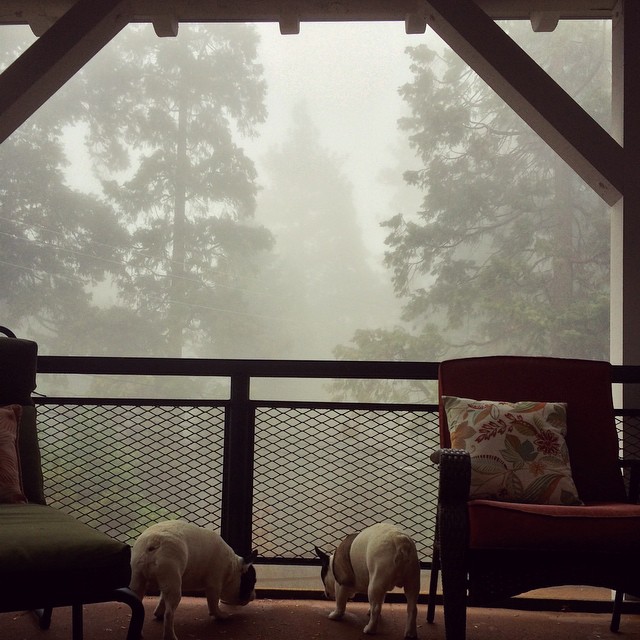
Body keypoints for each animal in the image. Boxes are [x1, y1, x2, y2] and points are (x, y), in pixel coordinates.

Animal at [129, 520, 258, 640]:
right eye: (251, 582)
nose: (254, 595)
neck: (233, 566)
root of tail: (154, 542)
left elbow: (161, 599)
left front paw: (158, 612)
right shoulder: (214, 585)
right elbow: (213, 605)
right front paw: (220, 615)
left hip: (139, 581)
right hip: (174, 586)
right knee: (169, 614)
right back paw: (170, 636)